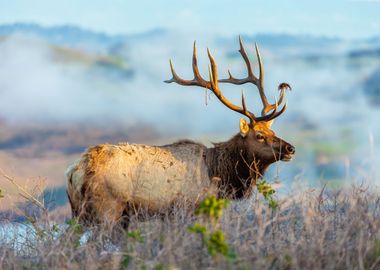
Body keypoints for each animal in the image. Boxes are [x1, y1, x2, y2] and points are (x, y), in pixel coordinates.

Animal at [65, 37, 296, 226]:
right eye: (260, 136)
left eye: (273, 132)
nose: (291, 149)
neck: (220, 176)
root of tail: (75, 170)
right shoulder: (192, 208)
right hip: (108, 208)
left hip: (83, 213)